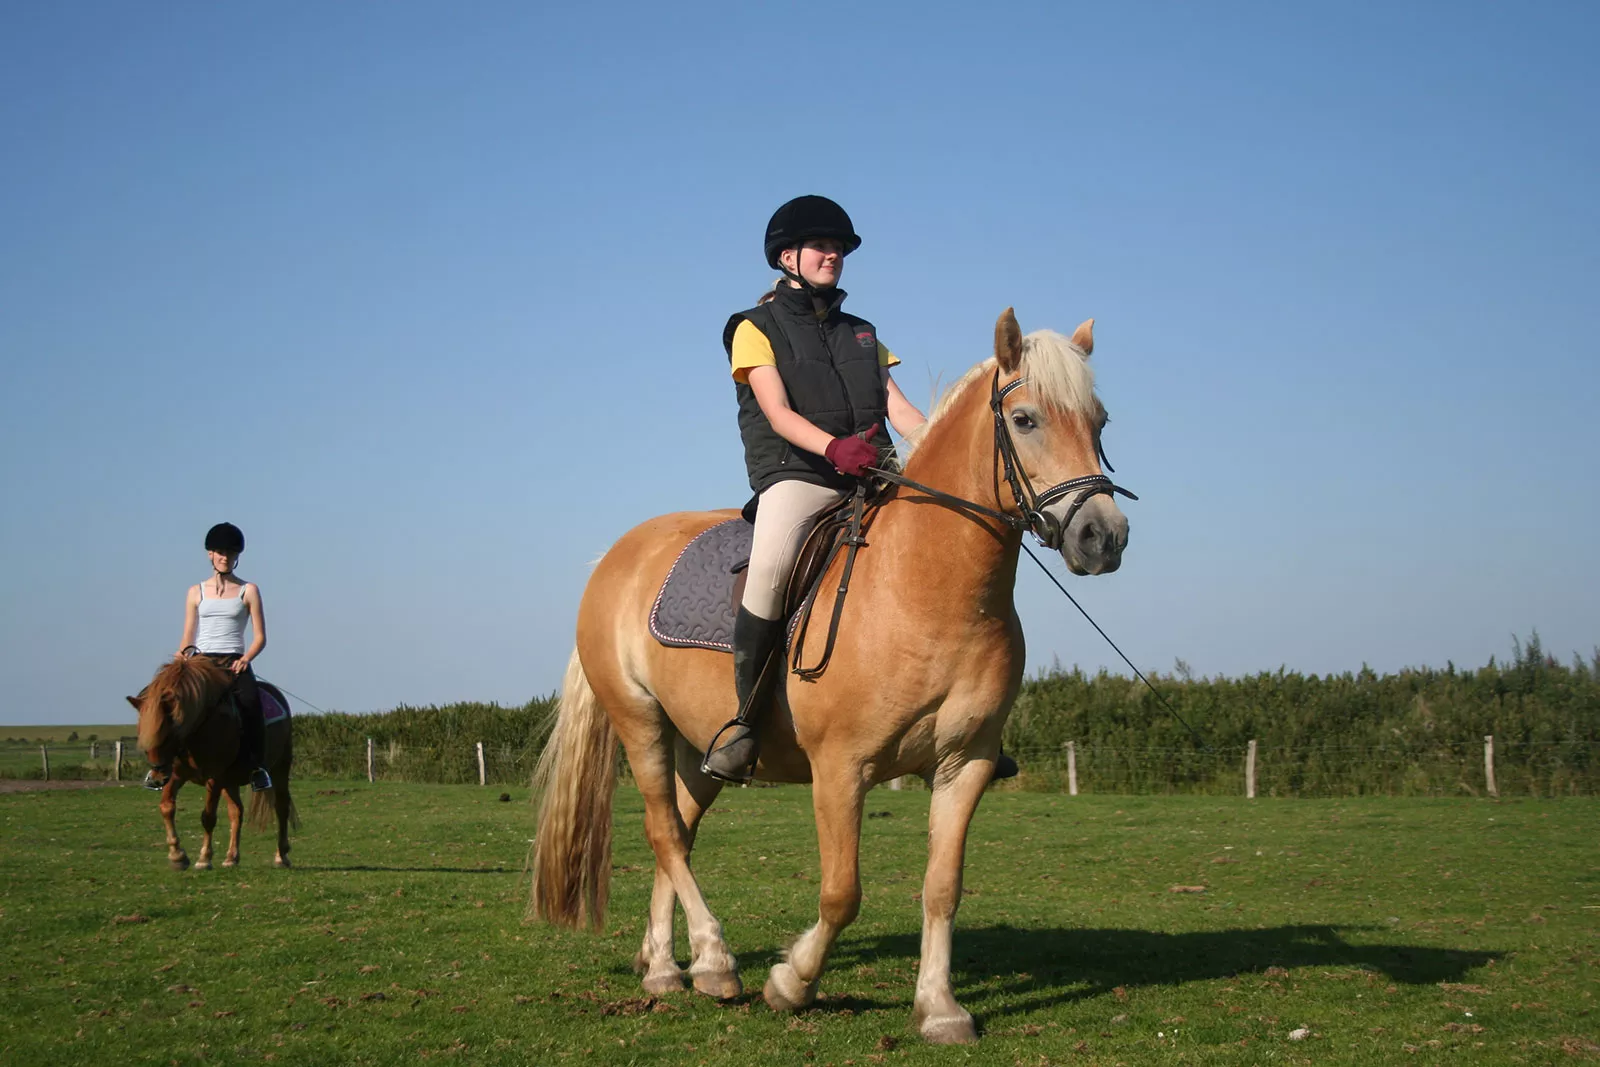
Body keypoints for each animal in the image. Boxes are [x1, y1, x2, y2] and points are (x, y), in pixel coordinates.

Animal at [126, 655, 298, 871]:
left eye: (168, 733)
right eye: (142, 731)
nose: (157, 779)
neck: (199, 726)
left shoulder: (214, 777)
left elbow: (208, 817)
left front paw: (204, 858)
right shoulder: (177, 774)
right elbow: (166, 807)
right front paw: (177, 856)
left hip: (280, 767)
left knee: (281, 807)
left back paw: (281, 856)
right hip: (231, 780)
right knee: (236, 812)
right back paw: (232, 857)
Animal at [529, 308, 1131, 1044]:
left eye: (1099, 421)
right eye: (1025, 419)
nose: (1104, 536)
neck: (925, 585)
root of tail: (615, 555)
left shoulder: (966, 764)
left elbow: (943, 887)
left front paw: (940, 1008)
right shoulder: (842, 768)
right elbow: (842, 892)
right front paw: (792, 982)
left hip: (703, 748)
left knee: (681, 829)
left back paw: (666, 965)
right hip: (639, 721)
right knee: (665, 831)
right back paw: (715, 961)